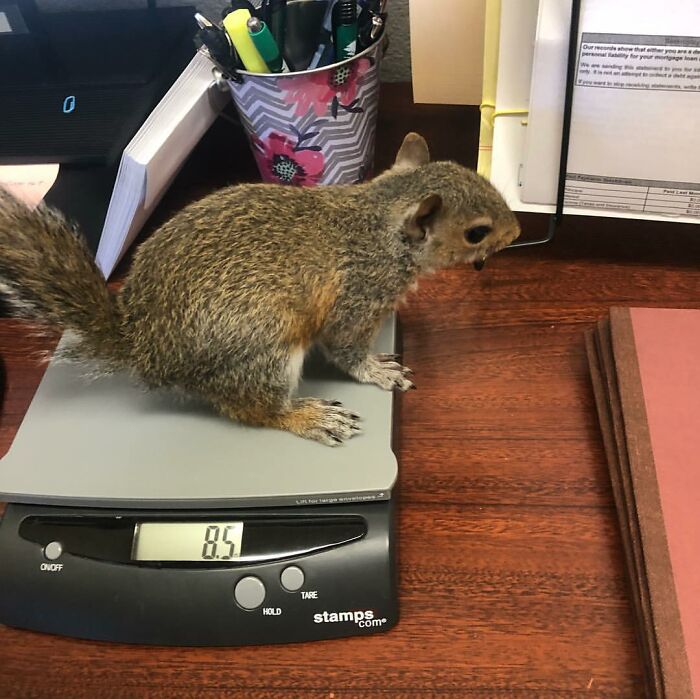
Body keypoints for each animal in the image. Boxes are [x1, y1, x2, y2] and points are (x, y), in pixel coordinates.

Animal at [0, 132, 520, 446]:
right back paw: (308, 417)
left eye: (477, 176)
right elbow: (345, 348)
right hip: (264, 351)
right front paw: (377, 370)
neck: (379, 221)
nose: (516, 231)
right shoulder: (359, 293)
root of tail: (145, 350)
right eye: (476, 232)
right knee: (255, 410)